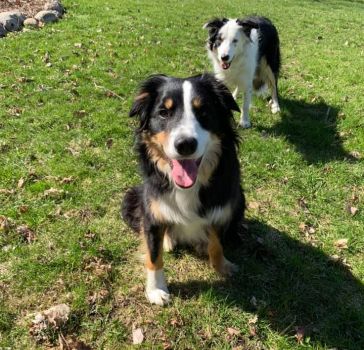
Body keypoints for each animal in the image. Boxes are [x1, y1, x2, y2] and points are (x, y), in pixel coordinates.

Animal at [121, 74, 245, 306]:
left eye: (203, 111)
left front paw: (222, 266)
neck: (189, 186)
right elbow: (153, 255)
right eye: (164, 112)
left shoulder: (220, 208)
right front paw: (156, 290)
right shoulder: (152, 212)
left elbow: (217, 243)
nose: (185, 144)